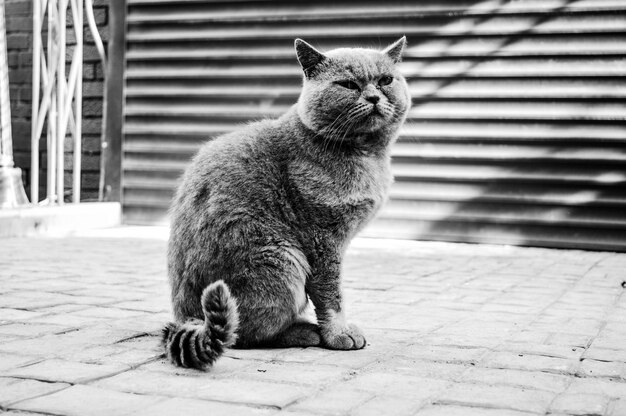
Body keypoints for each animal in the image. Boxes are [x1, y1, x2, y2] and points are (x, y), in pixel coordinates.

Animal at [161, 35, 410, 368]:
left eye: (385, 80)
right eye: (348, 84)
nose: (372, 96)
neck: (367, 156)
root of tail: (185, 317)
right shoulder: (322, 239)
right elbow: (331, 294)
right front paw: (339, 334)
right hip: (282, 260)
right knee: (245, 333)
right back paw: (304, 332)